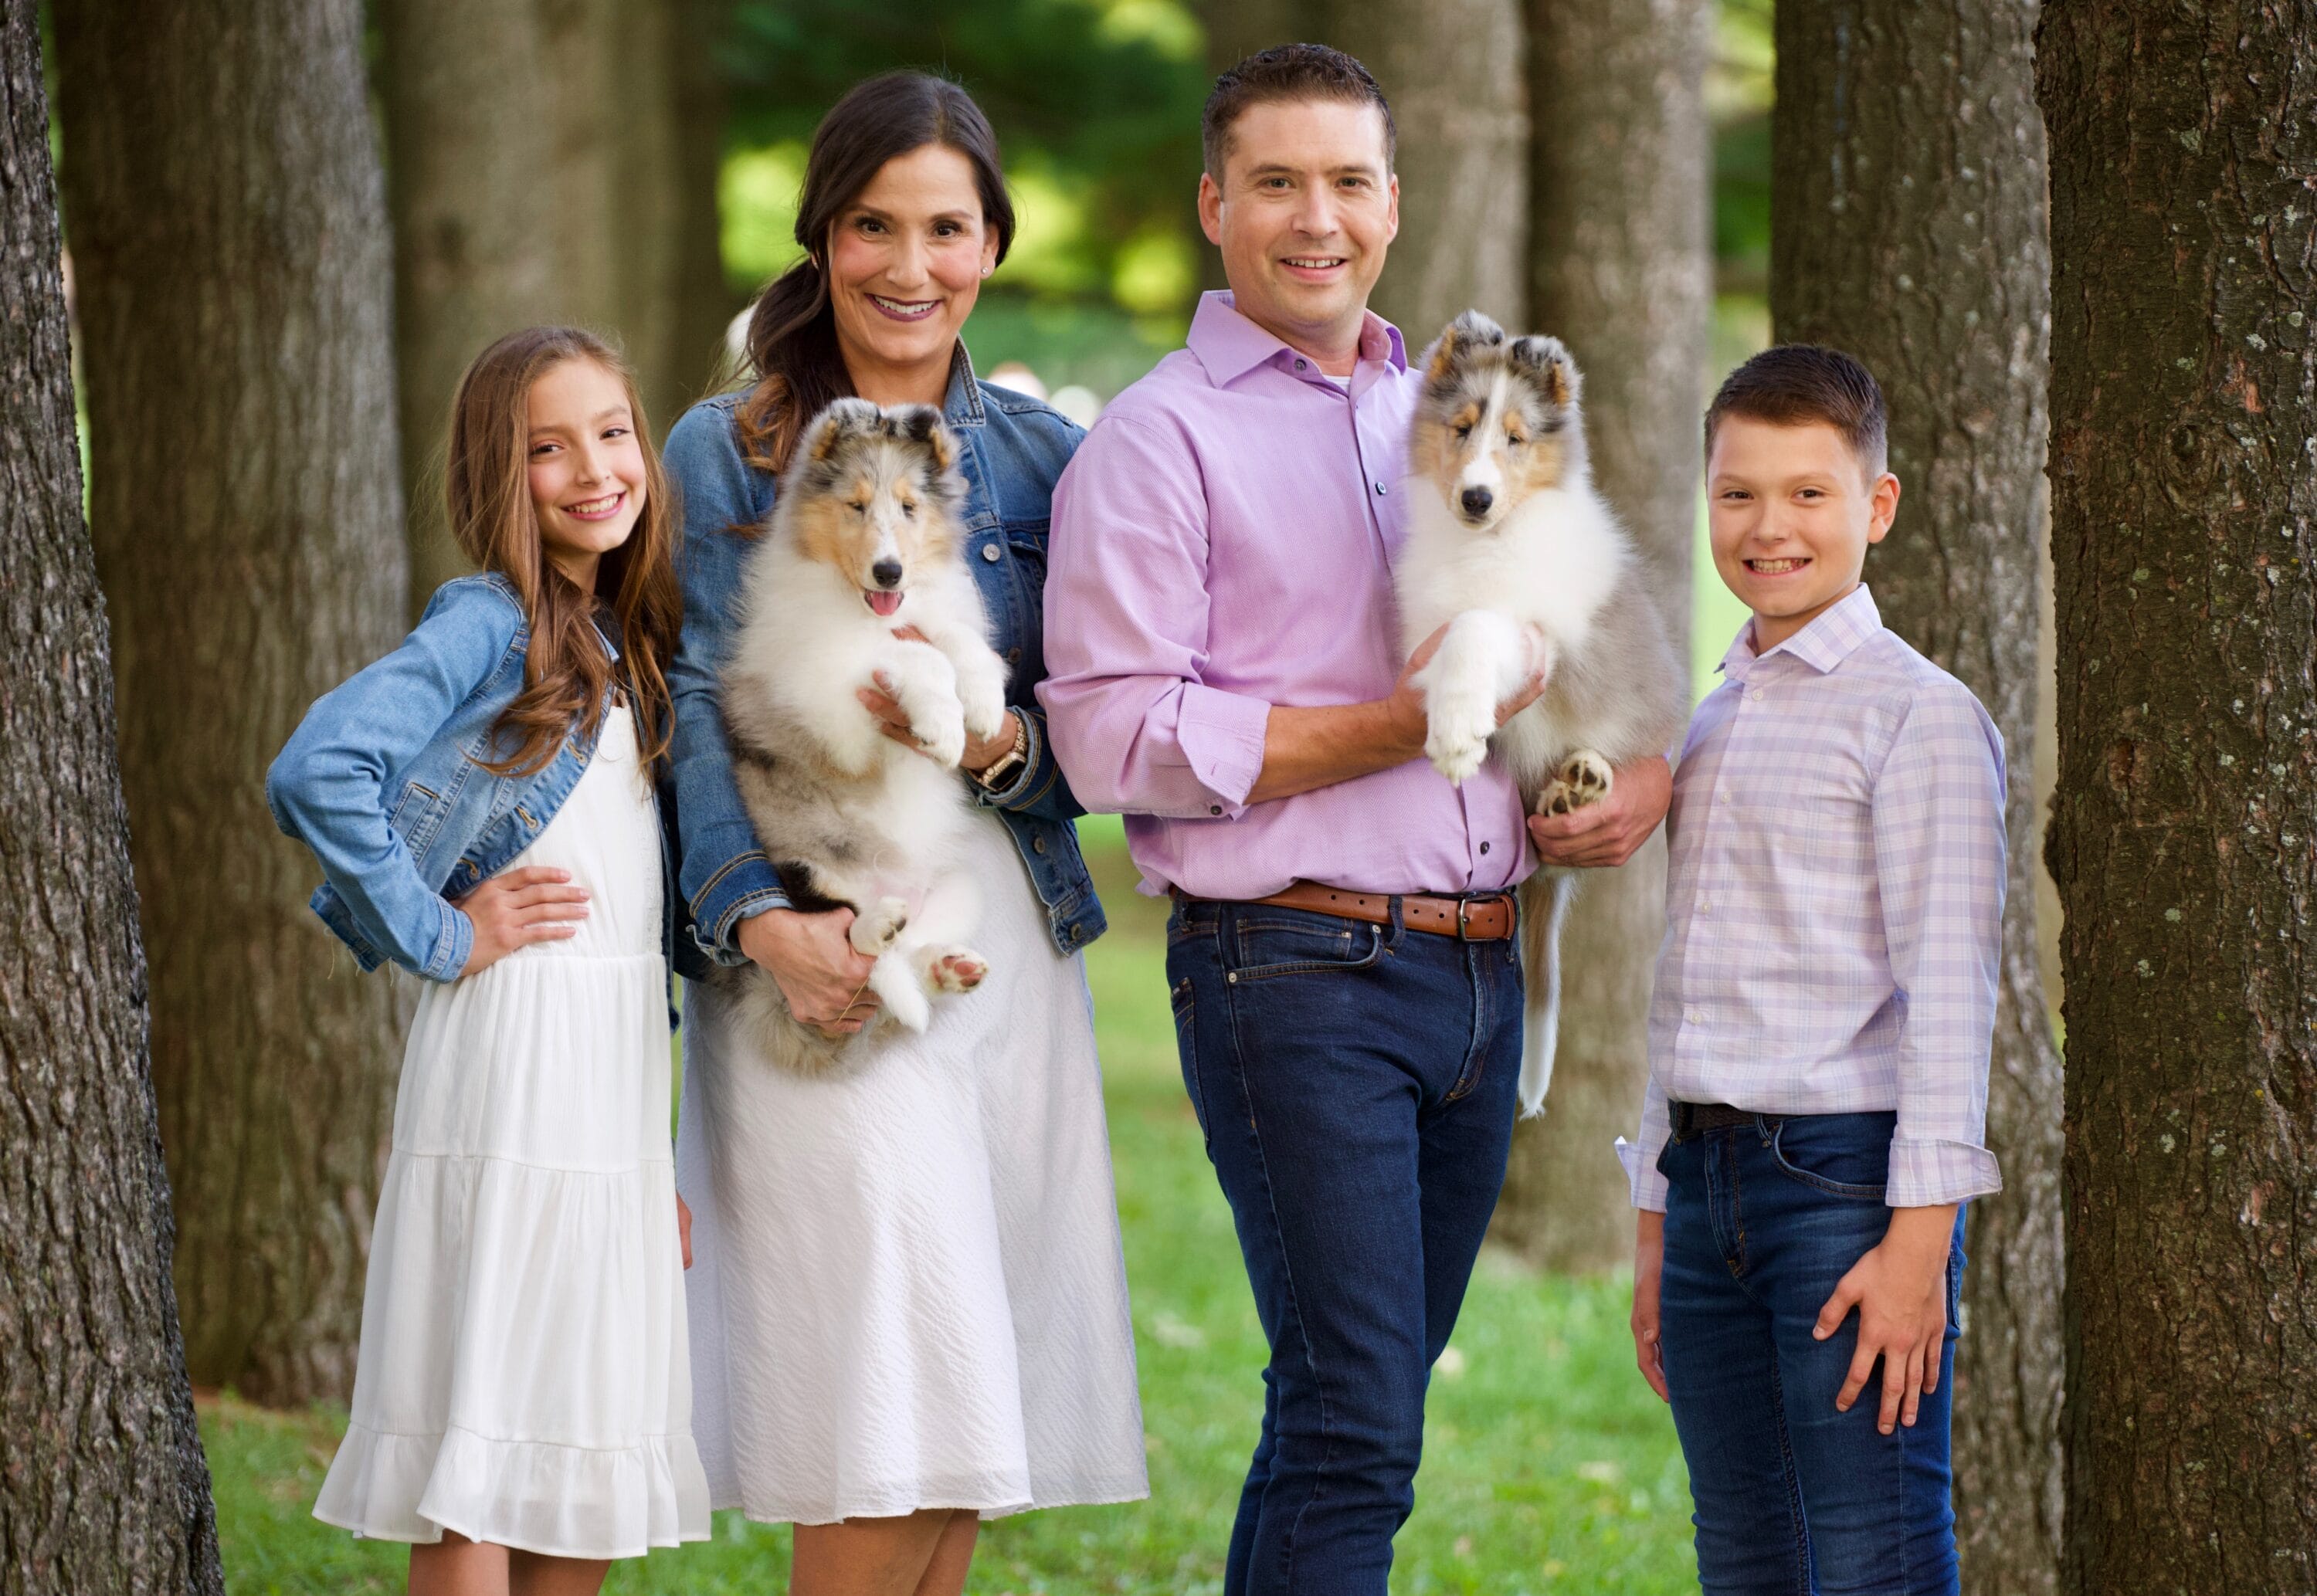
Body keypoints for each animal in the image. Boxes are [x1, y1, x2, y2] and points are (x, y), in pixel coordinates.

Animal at [714, 398, 1006, 1070]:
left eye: (909, 507)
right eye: (855, 506)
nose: (889, 570)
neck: (860, 602)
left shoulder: (928, 613)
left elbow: (957, 640)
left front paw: (982, 705)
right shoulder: (822, 693)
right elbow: (914, 657)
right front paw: (942, 726)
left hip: (963, 886)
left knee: (901, 965)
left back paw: (945, 965)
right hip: (797, 868)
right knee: (854, 942)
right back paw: (877, 925)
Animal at [1390, 308, 1687, 1107]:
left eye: (1517, 439)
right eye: (1462, 428)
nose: (1476, 498)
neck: (1489, 540)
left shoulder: (1537, 633)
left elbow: (1477, 627)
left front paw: (1457, 736)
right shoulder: (1427, 627)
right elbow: (1448, 639)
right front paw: (1450, 722)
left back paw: (1582, 782)